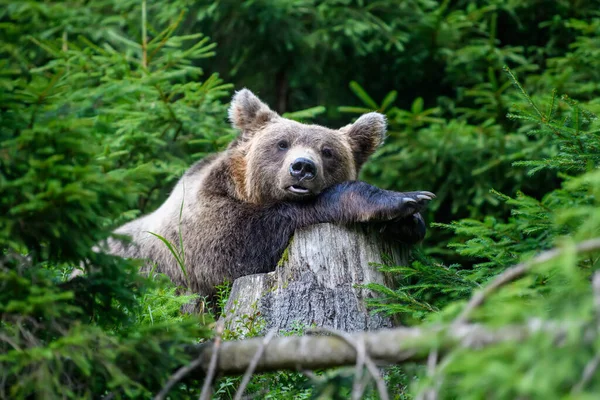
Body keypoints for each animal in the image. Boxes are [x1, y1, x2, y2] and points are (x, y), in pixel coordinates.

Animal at [98, 90, 436, 296]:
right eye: (282, 143)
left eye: (327, 152)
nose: (302, 168)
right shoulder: (195, 227)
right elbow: (231, 250)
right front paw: (399, 200)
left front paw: (408, 221)